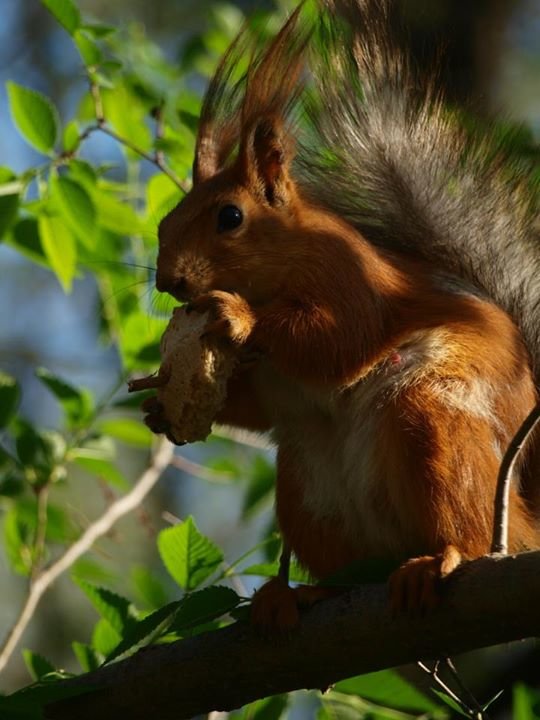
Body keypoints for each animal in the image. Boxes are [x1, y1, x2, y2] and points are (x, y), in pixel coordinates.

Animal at [143, 0, 540, 620]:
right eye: (164, 222)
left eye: (230, 217)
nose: (169, 281)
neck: (280, 269)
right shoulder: (270, 385)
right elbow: (256, 406)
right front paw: (157, 402)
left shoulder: (351, 281)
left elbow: (342, 341)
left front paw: (238, 316)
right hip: (308, 489)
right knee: (350, 565)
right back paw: (300, 595)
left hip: (435, 426)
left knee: (467, 531)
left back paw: (442, 559)